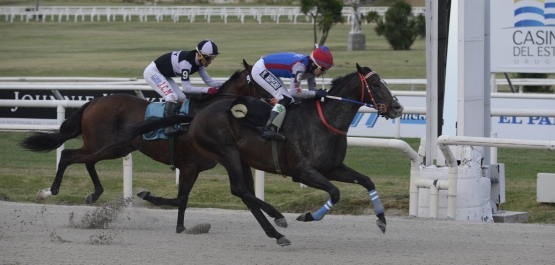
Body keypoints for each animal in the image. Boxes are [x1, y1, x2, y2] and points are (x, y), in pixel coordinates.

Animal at [19, 63, 286, 233]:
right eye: (265, 78)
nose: (282, 97)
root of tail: (93, 102)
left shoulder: (195, 168)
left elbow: (182, 199)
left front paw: (181, 226)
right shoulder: (189, 165)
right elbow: (181, 198)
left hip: (113, 147)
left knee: (86, 160)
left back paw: (94, 193)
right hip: (104, 145)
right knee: (68, 155)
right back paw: (49, 192)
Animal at [118, 63, 404, 244]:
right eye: (376, 83)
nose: (397, 107)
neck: (323, 122)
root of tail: (196, 116)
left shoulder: (332, 168)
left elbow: (367, 181)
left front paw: (382, 220)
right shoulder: (303, 171)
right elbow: (335, 193)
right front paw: (308, 215)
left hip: (241, 159)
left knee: (245, 194)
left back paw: (276, 232)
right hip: (227, 152)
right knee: (240, 191)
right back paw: (278, 220)